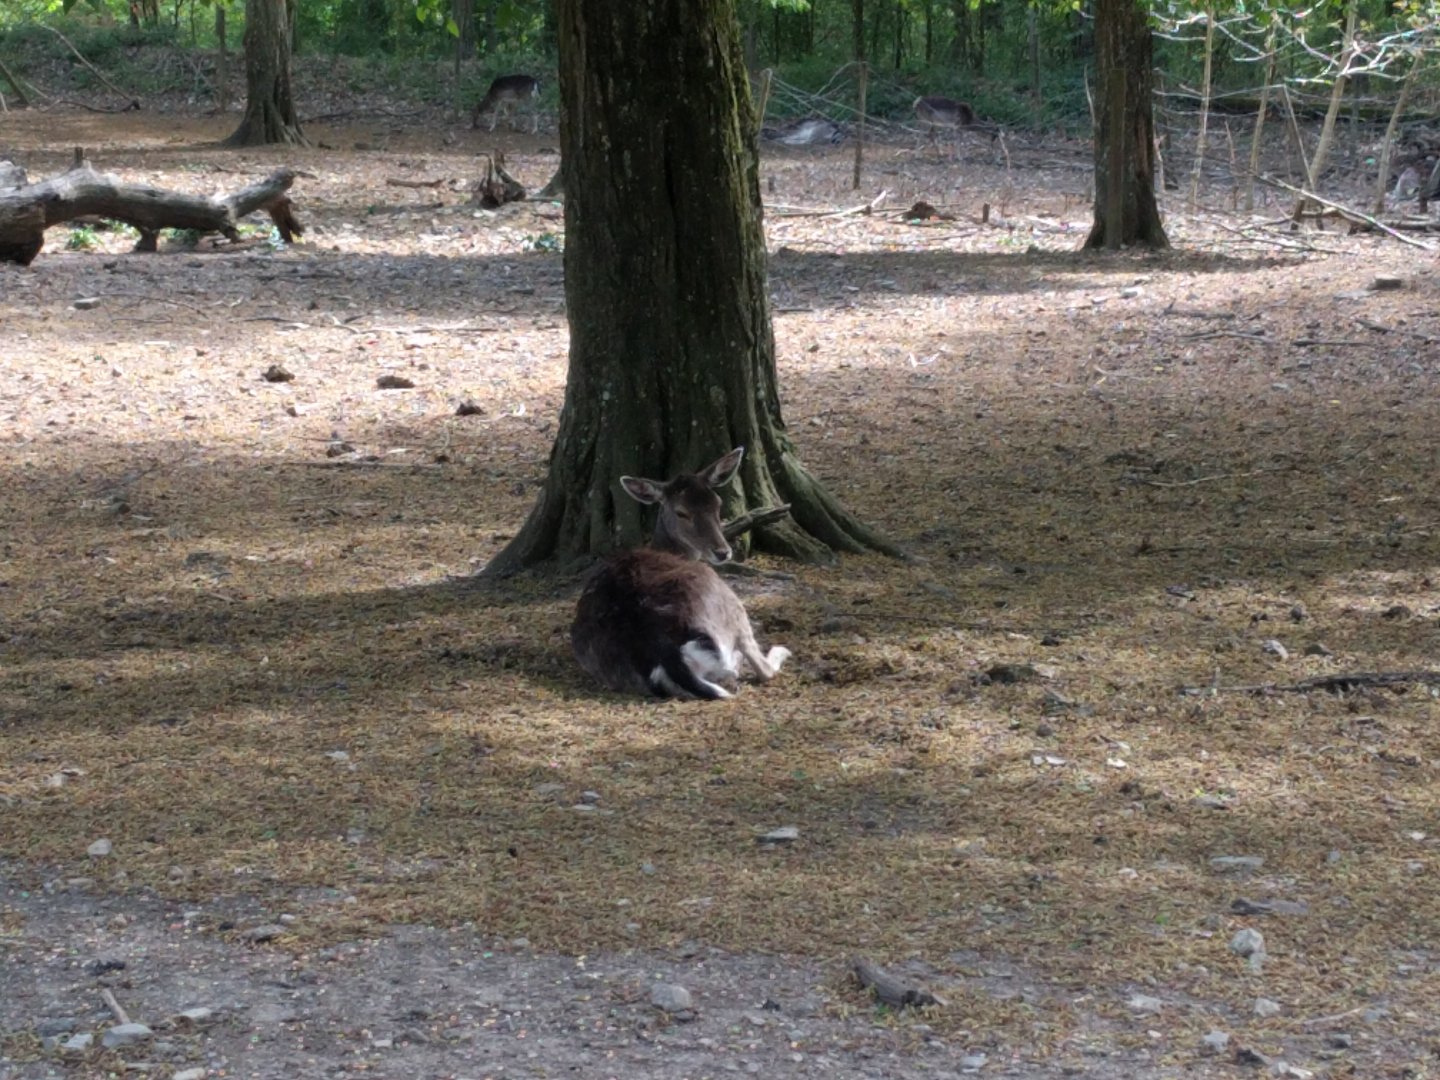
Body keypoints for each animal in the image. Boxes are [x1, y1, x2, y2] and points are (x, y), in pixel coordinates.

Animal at [570, 447, 791, 701]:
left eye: (717, 503)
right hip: (726, 600)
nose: (722, 552)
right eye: (681, 512)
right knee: (758, 667)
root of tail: (664, 653)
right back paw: (780, 651)